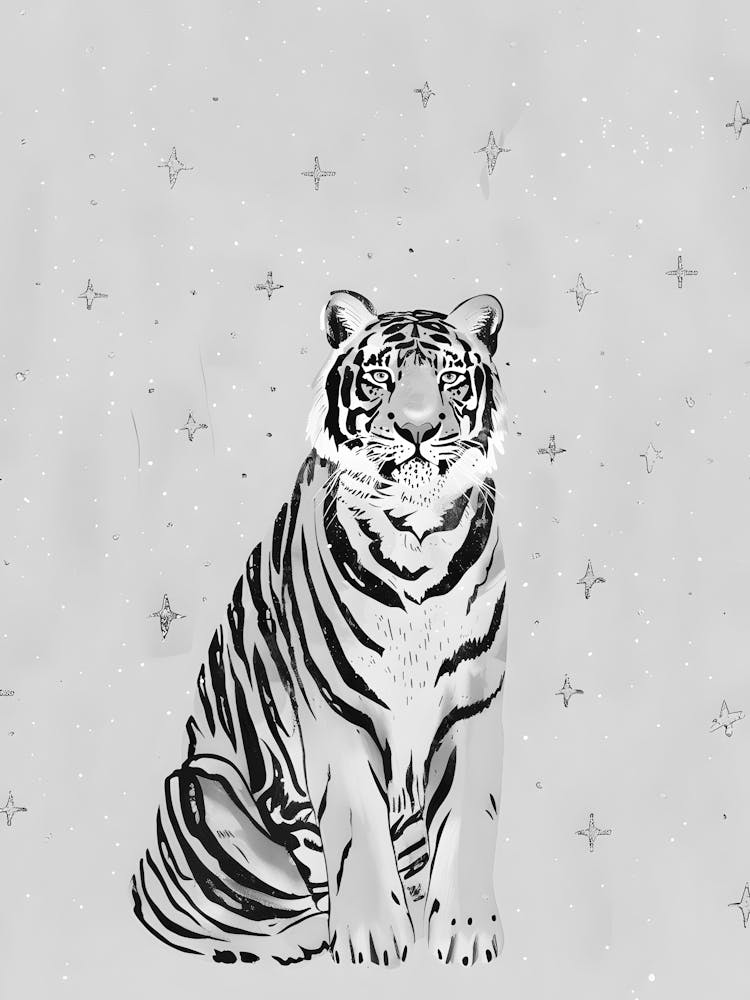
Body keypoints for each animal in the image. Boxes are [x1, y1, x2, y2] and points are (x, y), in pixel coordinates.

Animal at [131, 290, 510, 968]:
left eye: (448, 377)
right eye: (381, 376)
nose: (417, 429)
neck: (415, 539)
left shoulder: (475, 706)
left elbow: (471, 820)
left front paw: (465, 934)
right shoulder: (334, 709)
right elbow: (357, 822)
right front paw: (372, 940)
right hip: (199, 786)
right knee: (217, 922)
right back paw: (312, 931)